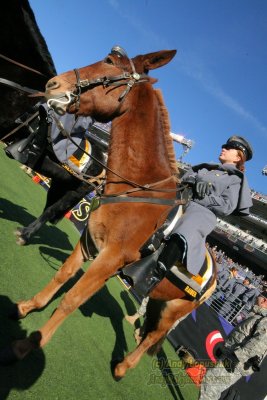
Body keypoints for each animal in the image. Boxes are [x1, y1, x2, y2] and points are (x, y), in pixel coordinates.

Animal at [4, 47, 218, 378]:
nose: (53, 84)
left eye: (108, 62)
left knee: (154, 337)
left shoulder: (109, 259)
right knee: (150, 332)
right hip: (158, 301)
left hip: (173, 311)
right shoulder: (89, 243)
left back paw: (123, 367)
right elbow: (62, 276)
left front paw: (27, 345)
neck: (136, 192)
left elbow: (71, 299)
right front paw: (27, 306)